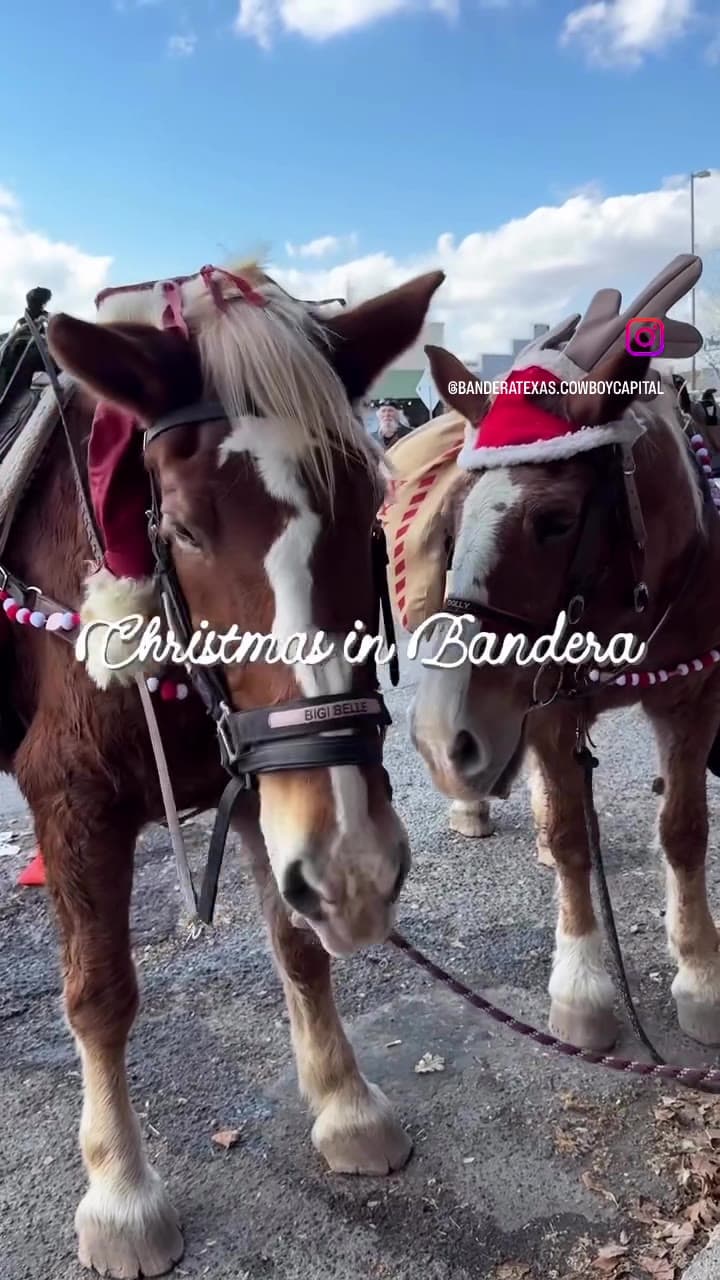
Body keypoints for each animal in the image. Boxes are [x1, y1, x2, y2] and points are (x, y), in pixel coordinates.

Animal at [1, 261, 443, 1278]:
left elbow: (298, 944)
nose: (362, 869)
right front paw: (121, 1194)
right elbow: (100, 994)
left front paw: (344, 1104)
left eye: (368, 504)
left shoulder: (268, 780)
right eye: (186, 529)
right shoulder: (70, 801)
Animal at [408, 253, 720, 1056]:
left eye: (553, 521)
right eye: (452, 522)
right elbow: (573, 836)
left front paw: (699, 972)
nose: (444, 740)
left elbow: (683, 830)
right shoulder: (548, 706)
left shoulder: (692, 696)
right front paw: (582, 985)